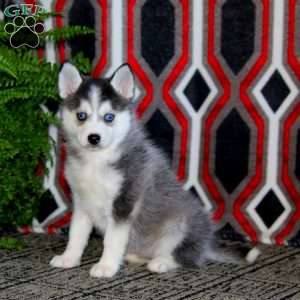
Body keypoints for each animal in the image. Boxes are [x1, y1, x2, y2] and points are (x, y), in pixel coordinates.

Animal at [49, 63, 260, 278]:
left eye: (109, 117)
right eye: (81, 116)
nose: (93, 138)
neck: (96, 160)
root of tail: (206, 245)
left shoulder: (124, 202)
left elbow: (112, 239)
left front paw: (106, 266)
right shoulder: (81, 201)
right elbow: (76, 234)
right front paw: (69, 258)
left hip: (181, 226)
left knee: (184, 257)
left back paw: (161, 262)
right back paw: (136, 256)